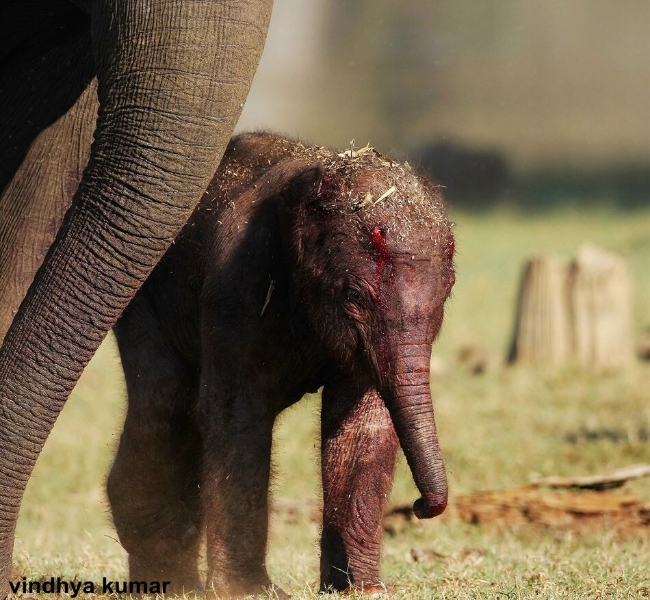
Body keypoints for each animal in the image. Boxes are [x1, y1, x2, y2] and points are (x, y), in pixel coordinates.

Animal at [109, 131, 454, 596]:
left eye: (447, 293)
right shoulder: (239, 281)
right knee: (166, 401)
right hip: (137, 293)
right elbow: (235, 412)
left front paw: (362, 590)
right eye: (352, 296)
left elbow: (362, 424)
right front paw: (250, 592)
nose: (419, 506)